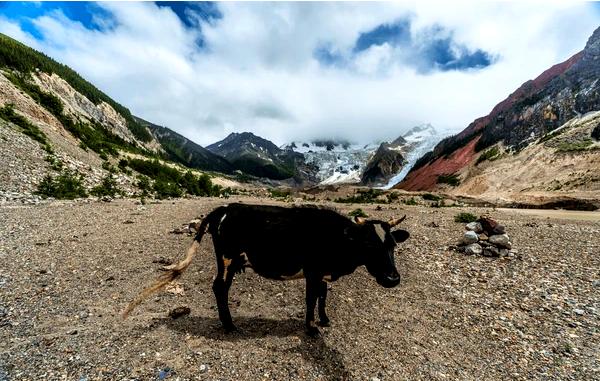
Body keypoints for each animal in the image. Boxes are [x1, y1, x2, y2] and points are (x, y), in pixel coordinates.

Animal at [123, 203, 410, 334]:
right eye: (368, 245)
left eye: (393, 245)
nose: (392, 278)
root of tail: (225, 207)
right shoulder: (313, 271)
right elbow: (310, 299)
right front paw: (311, 329)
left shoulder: (323, 273)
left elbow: (323, 296)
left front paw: (325, 319)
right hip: (227, 259)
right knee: (219, 288)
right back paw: (229, 325)